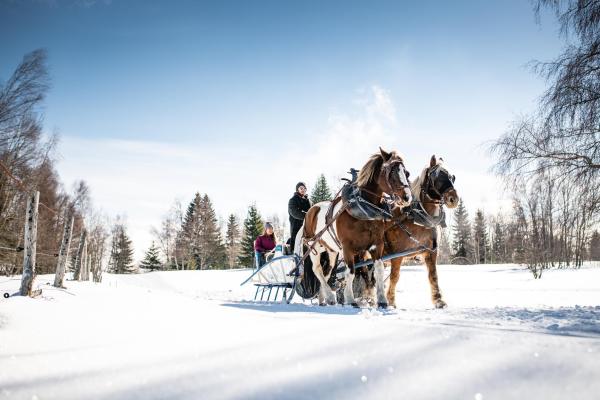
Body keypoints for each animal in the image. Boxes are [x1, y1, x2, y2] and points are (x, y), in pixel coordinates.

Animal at [298, 148, 412, 308]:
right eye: (391, 171)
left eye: (406, 172)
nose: (407, 197)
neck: (364, 209)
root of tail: (312, 209)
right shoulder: (347, 248)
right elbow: (350, 272)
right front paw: (350, 299)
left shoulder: (377, 244)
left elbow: (378, 270)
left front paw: (382, 300)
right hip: (314, 247)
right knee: (317, 270)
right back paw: (330, 296)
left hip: (331, 250)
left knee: (327, 272)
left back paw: (324, 298)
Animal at [384, 156, 460, 310]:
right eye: (437, 177)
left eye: (452, 177)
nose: (453, 199)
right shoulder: (397, 254)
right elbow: (395, 277)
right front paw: (391, 302)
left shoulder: (431, 251)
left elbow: (433, 275)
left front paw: (438, 300)